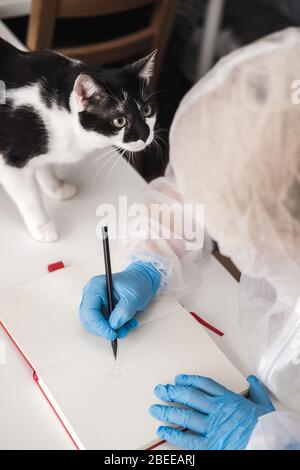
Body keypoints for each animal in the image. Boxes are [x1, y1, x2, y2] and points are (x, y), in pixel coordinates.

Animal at [0, 37, 158, 242]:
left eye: (146, 110)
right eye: (119, 121)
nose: (144, 134)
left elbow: (45, 166)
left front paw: (55, 187)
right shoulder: (9, 159)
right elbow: (28, 196)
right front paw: (42, 225)